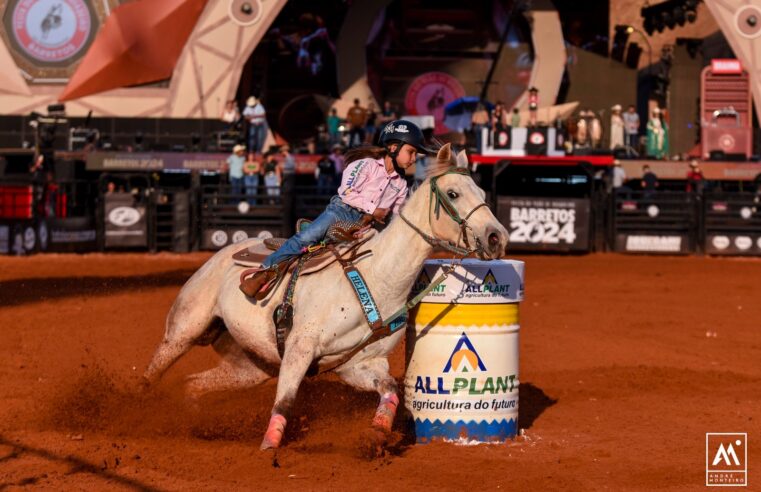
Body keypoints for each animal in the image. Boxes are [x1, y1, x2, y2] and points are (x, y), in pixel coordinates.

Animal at [142, 142, 510, 450]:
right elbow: (285, 401)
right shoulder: (300, 347)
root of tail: (220, 254)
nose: (498, 237)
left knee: (193, 384)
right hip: (184, 328)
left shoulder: (360, 364)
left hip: (249, 365)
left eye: (481, 190)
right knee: (154, 372)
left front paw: (376, 436)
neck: (377, 276)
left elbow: (390, 391)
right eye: (453, 193)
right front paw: (269, 449)